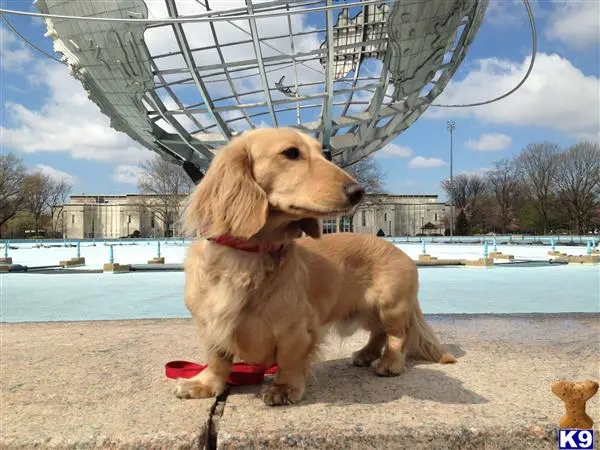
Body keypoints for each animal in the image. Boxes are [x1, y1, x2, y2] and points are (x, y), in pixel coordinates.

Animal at [178, 127, 454, 408]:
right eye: (291, 152)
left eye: (324, 154)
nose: (359, 191)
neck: (248, 256)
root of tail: (401, 252)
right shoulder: (211, 324)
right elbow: (218, 359)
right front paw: (205, 384)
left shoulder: (296, 329)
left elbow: (289, 361)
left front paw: (284, 388)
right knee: (378, 334)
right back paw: (365, 354)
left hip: (390, 306)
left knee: (397, 336)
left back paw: (389, 363)